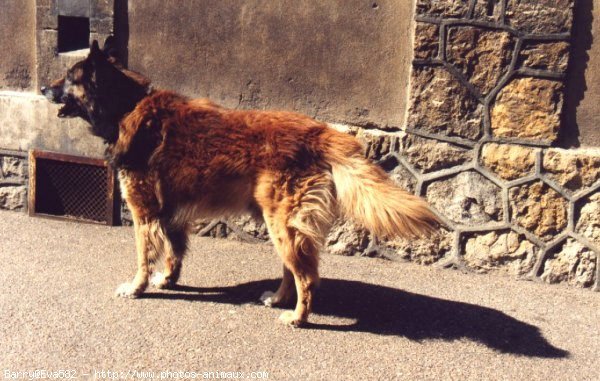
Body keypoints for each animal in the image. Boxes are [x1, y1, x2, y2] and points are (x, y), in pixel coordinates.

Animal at [39, 37, 438, 326]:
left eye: (69, 79)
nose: (43, 88)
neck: (127, 105)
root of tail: (318, 131)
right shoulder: (170, 214)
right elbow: (173, 252)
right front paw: (167, 280)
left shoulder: (144, 212)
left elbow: (144, 256)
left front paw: (138, 287)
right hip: (278, 222)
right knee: (294, 270)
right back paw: (277, 299)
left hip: (283, 223)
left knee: (307, 276)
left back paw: (297, 317)